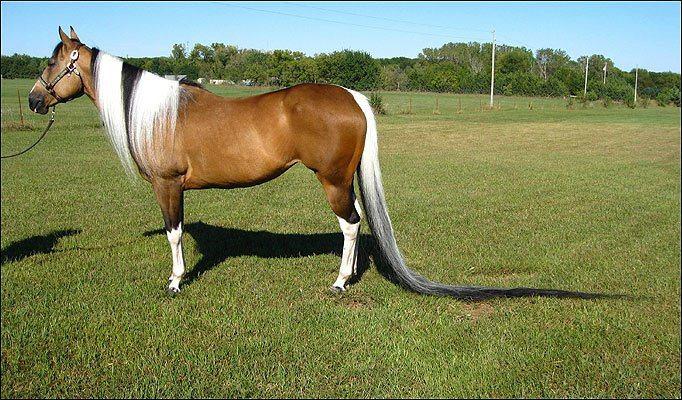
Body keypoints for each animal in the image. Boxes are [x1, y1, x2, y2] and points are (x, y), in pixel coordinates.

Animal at [28, 27, 605, 300]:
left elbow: (174, 234)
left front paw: (174, 283)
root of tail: (351, 95)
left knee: (350, 226)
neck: (157, 112)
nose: (34, 100)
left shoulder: (168, 186)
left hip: (331, 182)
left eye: (55, 62)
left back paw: (340, 282)